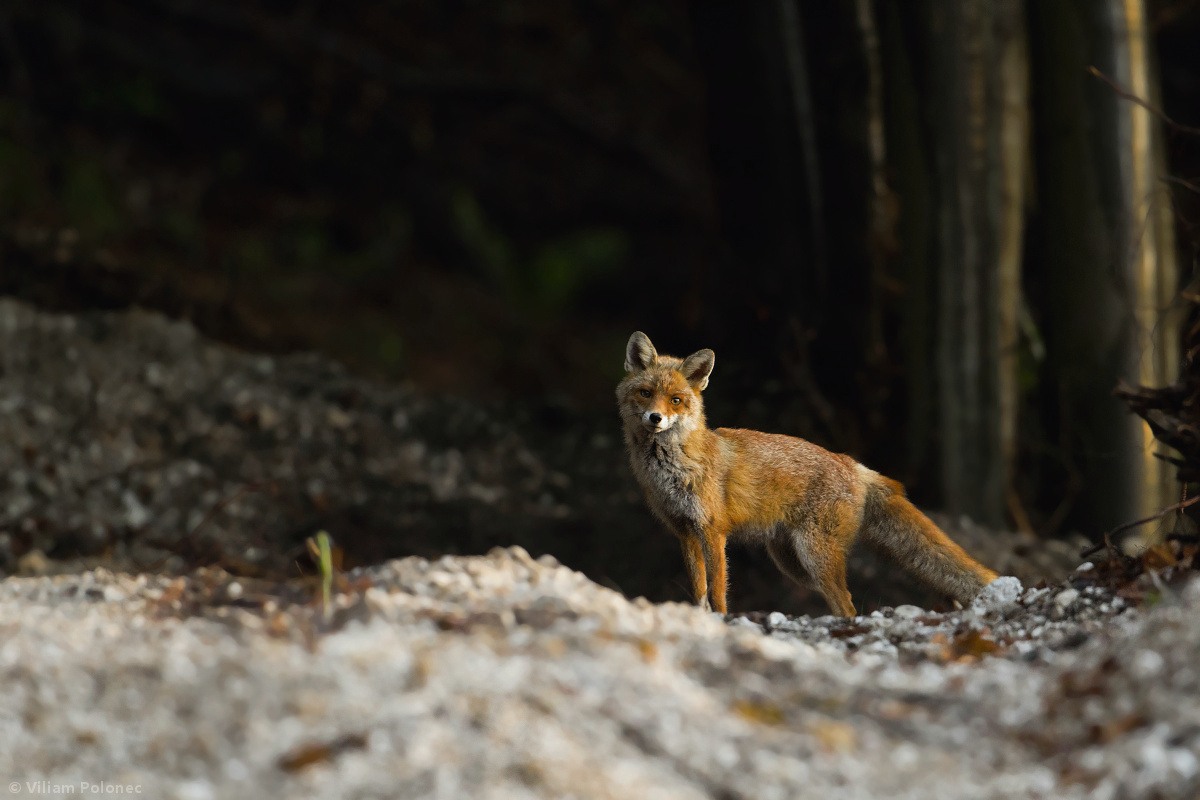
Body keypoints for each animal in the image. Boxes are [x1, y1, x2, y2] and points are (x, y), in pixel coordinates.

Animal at [614, 328, 998, 618]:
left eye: (676, 400)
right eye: (646, 393)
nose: (655, 419)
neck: (671, 470)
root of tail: (853, 464)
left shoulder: (712, 531)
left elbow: (718, 591)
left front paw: (721, 621)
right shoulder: (684, 532)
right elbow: (699, 591)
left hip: (815, 557)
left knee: (848, 605)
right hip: (795, 564)